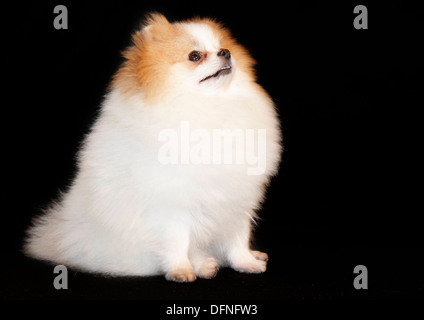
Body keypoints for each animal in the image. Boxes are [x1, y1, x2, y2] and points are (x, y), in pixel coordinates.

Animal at [23, 13, 282, 282]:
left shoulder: (236, 200)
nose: (225, 52)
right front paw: (181, 270)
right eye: (195, 56)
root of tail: (61, 235)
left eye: (222, 46)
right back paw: (204, 265)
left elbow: (237, 239)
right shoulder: (171, 205)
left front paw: (246, 262)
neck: (208, 106)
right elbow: (177, 241)